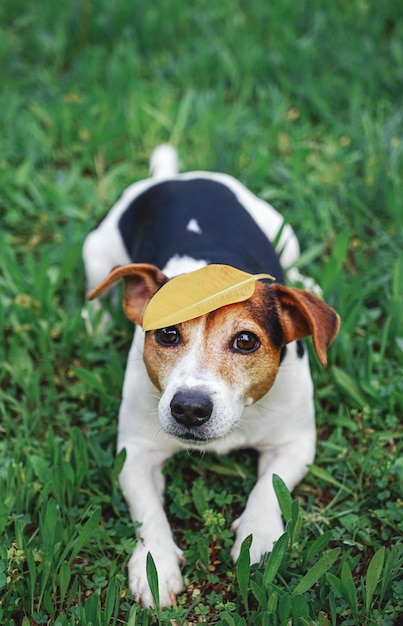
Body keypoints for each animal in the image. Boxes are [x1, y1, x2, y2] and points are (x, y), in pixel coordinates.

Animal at [83, 143, 340, 604]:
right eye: (167, 333)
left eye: (246, 341)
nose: (189, 408)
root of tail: (178, 178)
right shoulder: (135, 452)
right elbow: (147, 510)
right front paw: (155, 565)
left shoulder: (295, 443)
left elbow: (269, 488)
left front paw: (259, 541)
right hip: (97, 253)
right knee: (95, 289)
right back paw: (95, 319)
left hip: (282, 230)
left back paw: (308, 283)